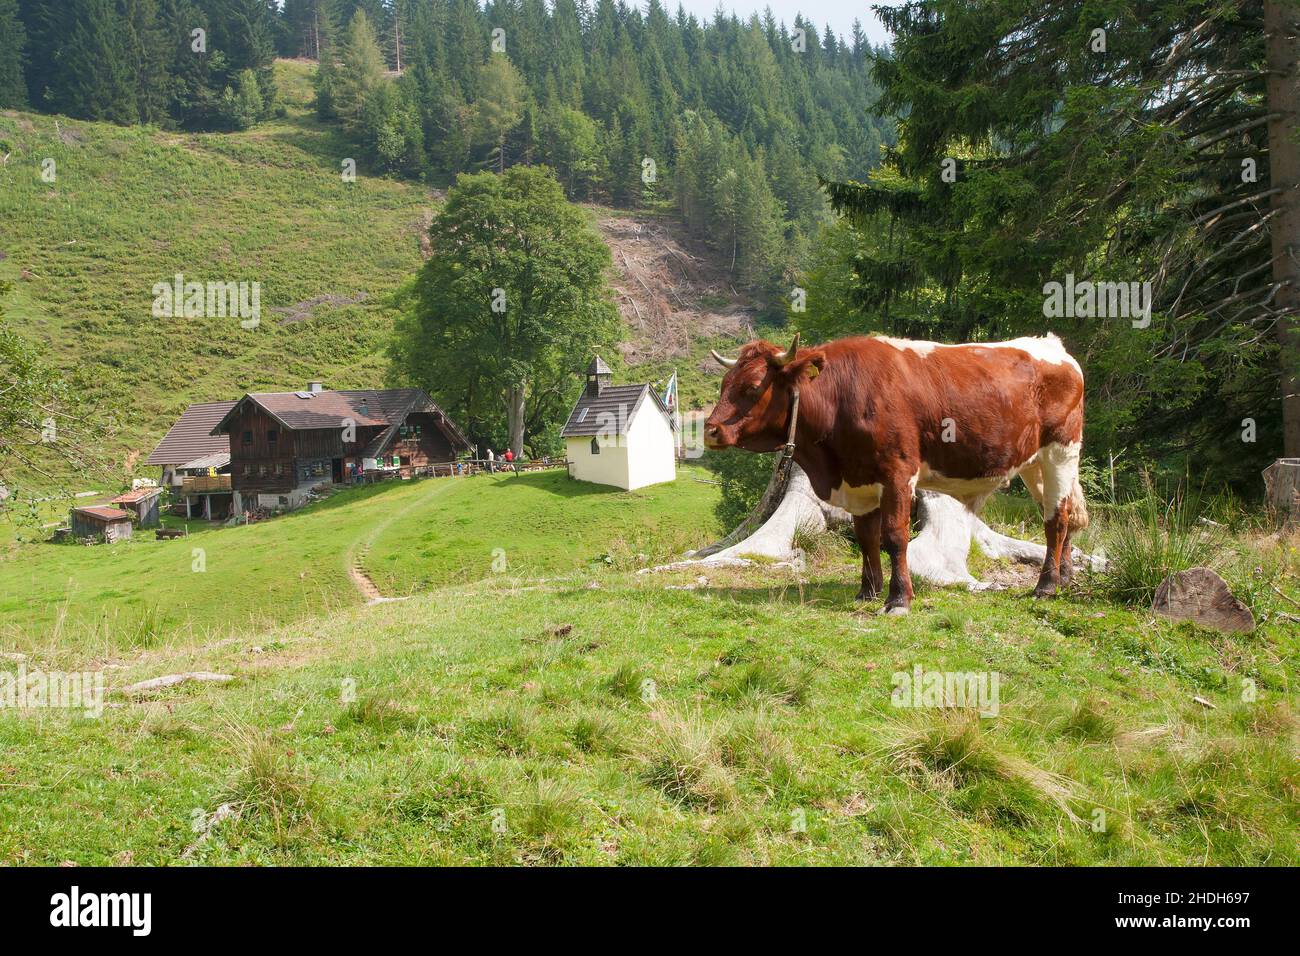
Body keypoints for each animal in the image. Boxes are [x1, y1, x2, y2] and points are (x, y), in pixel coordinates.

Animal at [702, 329, 1086, 613]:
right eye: (724, 384)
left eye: (753, 387)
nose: (710, 430)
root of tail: (1053, 347)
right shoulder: (860, 480)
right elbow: (866, 537)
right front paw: (867, 591)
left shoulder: (898, 472)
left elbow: (894, 537)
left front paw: (898, 598)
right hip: (1034, 464)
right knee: (1064, 512)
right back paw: (1064, 577)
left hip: (1060, 452)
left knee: (1056, 520)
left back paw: (1046, 586)